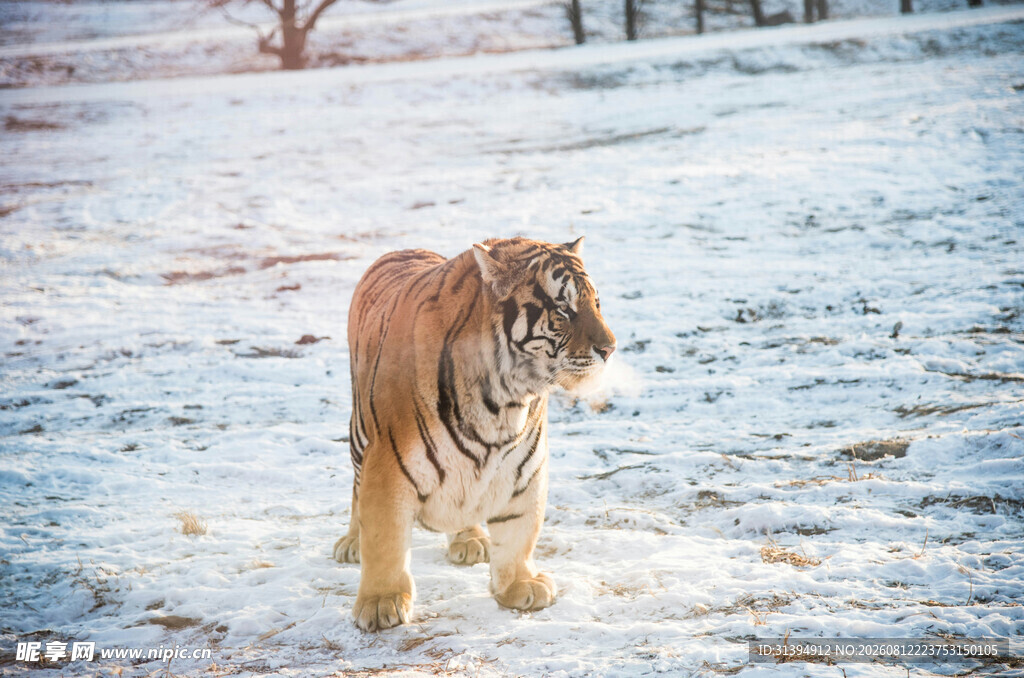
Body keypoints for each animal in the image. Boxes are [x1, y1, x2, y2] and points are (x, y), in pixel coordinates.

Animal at [332, 236, 616, 632]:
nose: (610, 348)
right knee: (357, 489)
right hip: (361, 435)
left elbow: (519, 531)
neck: (503, 402)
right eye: (563, 310)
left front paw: (520, 585)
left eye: (596, 304)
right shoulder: (387, 465)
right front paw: (380, 604)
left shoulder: (525, 468)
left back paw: (470, 539)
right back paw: (352, 543)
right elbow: (385, 540)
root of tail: (404, 249)